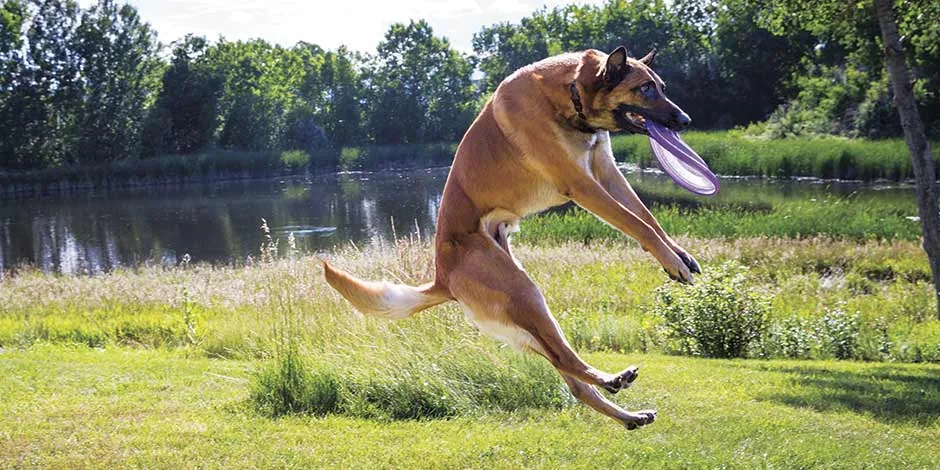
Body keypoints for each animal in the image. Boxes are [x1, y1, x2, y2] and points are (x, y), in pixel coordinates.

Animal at [324, 47, 696, 430]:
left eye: (661, 86)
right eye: (644, 89)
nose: (685, 120)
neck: (571, 91)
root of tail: (442, 277)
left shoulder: (606, 172)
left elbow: (647, 217)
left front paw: (678, 255)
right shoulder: (582, 184)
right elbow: (637, 223)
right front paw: (673, 262)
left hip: (528, 316)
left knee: (573, 380)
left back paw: (628, 414)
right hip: (524, 294)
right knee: (566, 360)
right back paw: (612, 379)